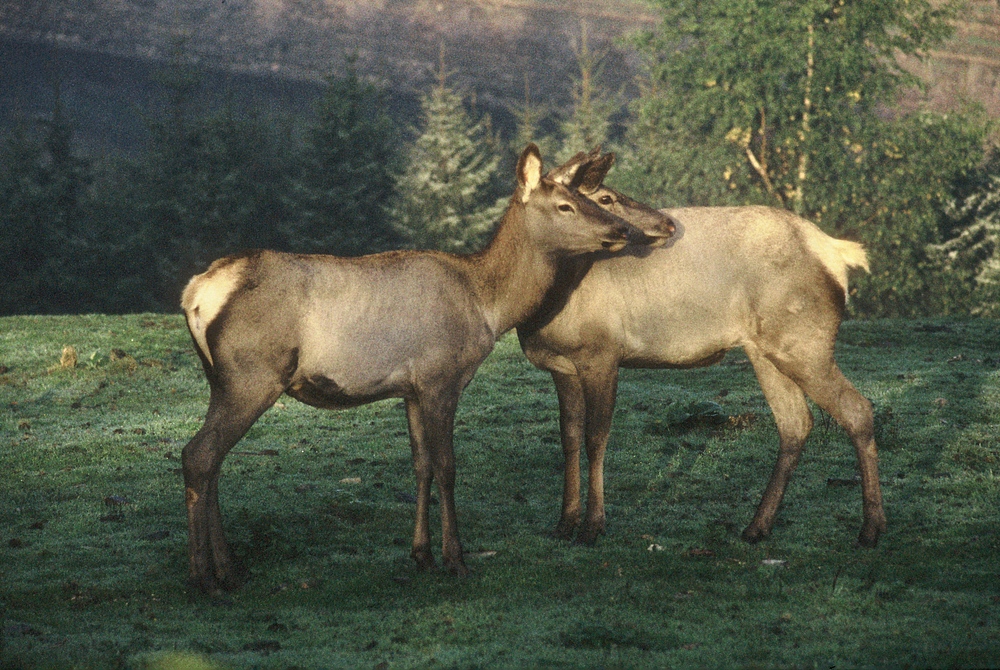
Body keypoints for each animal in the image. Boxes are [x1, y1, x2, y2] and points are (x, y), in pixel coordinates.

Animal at [179, 143, 668, 592]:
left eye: (588, 198)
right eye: (571, 204)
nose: (624, 230)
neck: (489, 306)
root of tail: (196, 293)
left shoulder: (411, 390)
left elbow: (421, 466)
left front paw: (422, 555)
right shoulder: (441, 377)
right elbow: (448, 467)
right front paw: (456, 559)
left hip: (219, 379)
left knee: (211, 459)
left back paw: (229, 568)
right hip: (253, 375)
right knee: (198, 455)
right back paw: (204, 577)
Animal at [520, 152, 888, 552]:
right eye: (603, 197)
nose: (666, 223)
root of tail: (837, 254)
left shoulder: (601, 352)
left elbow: (594, 437)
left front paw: (591, 526)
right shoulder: (561, 366)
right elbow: (568, 437)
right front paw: (564, 523)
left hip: (804, 342)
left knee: (857, 409)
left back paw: (871, 528)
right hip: (766, 350)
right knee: (796, 423)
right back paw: (757, 526)